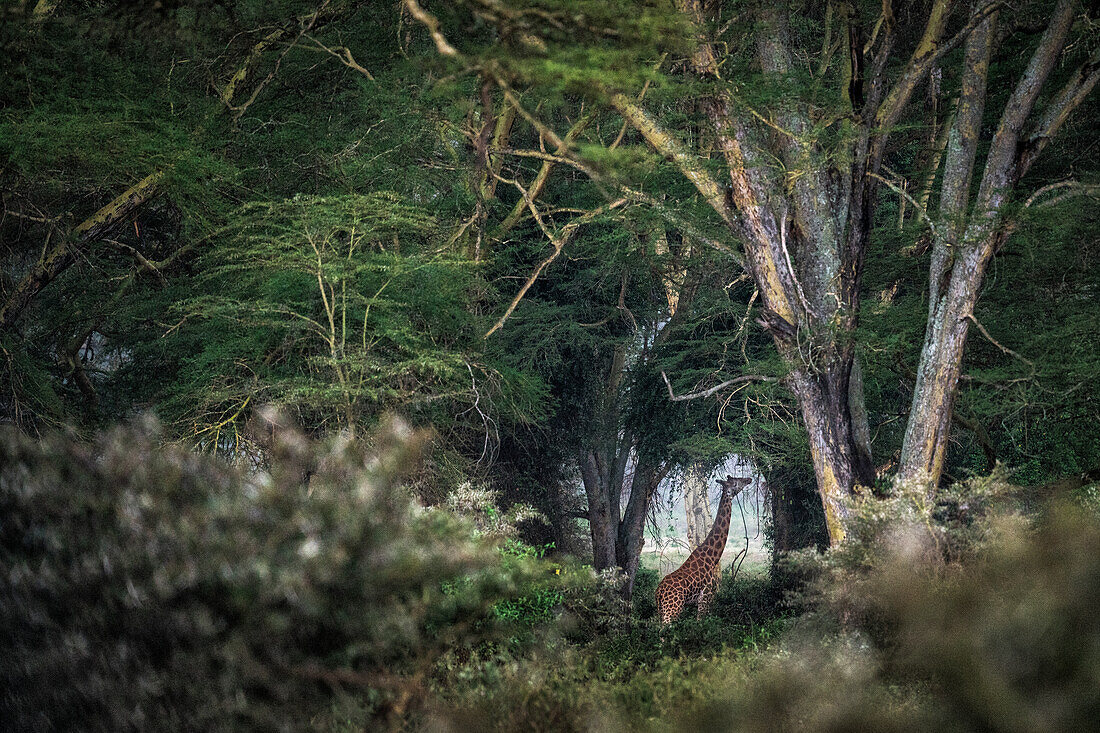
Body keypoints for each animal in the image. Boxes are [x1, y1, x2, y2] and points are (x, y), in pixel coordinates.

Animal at [655, 473, 752, 620]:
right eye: (736, 482)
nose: (749, 479)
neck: (712, 558)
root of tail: (659, 592)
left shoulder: (702, 602)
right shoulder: (705, 598)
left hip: (660, 612)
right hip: (672, 610)